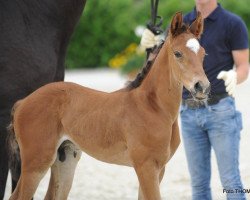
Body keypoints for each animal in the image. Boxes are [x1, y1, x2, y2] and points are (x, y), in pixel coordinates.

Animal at [9, 12, 209, 198]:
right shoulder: (146, 167)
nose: (202, 86)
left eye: (203, 54)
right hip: (36, 163)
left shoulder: (159, 169)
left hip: (65, 160)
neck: (154, 107)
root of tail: (22, 102)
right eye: (178, 53)